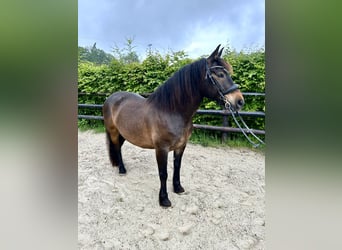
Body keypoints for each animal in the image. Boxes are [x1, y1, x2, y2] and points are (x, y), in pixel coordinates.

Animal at [103, 45, 244, 207]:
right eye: (220, 74)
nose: (240, 101)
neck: (171, 111)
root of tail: (111, 98)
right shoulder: (161, 149)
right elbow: (163, 173)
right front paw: (164, 199)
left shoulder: (181, 146)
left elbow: (177, 167)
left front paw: (178, 188)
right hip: (114, 132)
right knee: (116, 147)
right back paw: (122, 169)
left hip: (124, 133)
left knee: (118, 147)